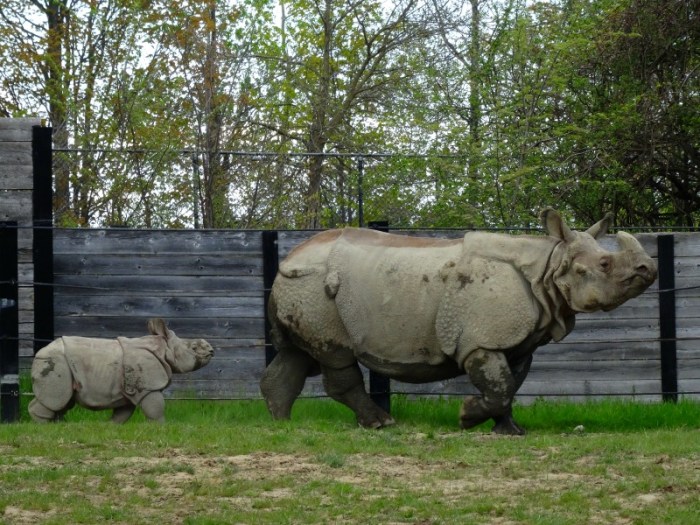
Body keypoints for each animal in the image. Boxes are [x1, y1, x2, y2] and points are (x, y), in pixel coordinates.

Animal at [29, 318, 213, 423]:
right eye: (194, 348)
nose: (211, 350)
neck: (164, 348)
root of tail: (38, 353)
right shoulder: (148, 387)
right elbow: (156, 410)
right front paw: (161, 428)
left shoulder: (128, 389)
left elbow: (122, 415)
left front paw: (109, 427)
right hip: (56, 362)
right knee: (55, 399)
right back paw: (45, 427)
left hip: (62, 365)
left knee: (63, 402)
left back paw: (60, 425)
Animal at [260, 209, 657, 434]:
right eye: (604, 264)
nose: (648, 269)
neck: (548, 265)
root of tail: (286, 261)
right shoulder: (481, 341)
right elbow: (499, 387)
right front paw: (467, 418)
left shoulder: (516, 342)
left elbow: (508, 385)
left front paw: (510, 431)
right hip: (314, 286)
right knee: (335, 354)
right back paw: (381, 424)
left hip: (305, 289)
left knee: (298, 355)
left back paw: (282, 426)